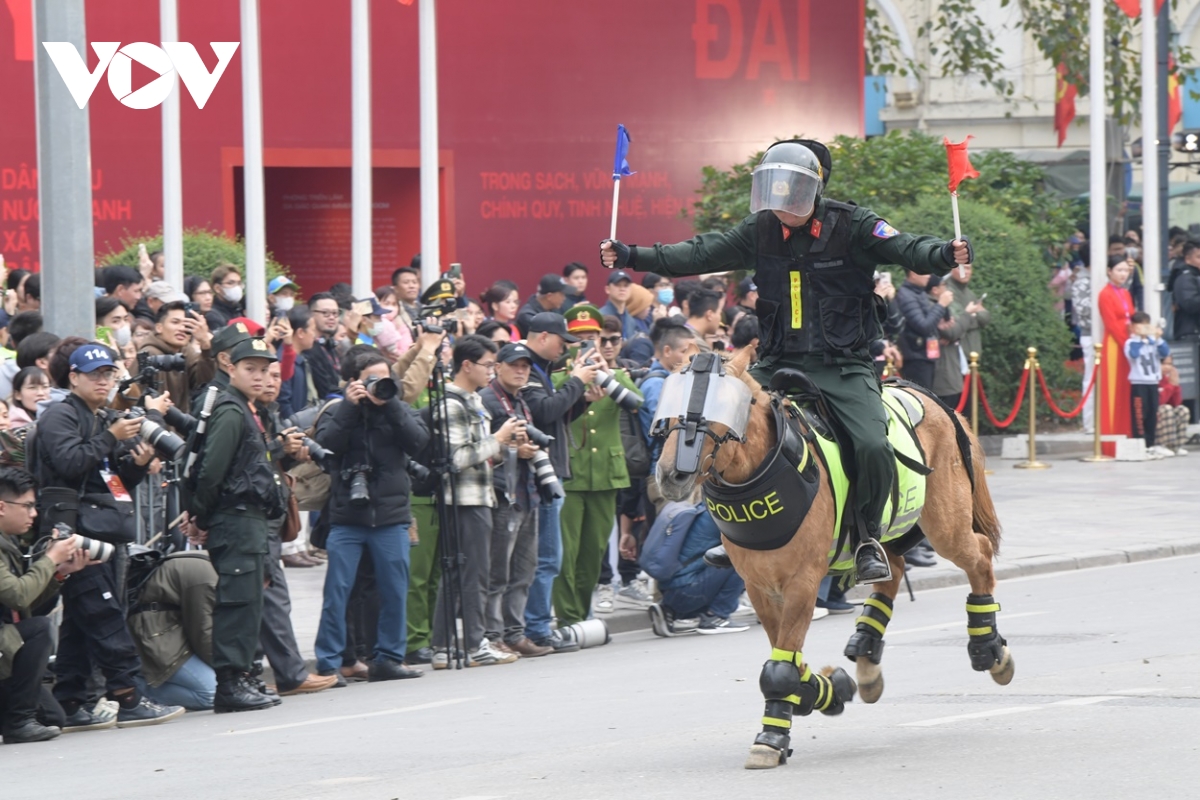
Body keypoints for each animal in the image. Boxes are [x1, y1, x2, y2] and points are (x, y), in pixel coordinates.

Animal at [657, 347, 1012, 772]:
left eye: (722, 407)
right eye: (667, 406)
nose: (670, 475)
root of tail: (932, 398)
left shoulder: (802, 583)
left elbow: (781, 667)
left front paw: (771, 738)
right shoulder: (759, 587)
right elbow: (788, 658)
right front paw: (825, 690)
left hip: (945, 525)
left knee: (979, 554)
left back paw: (989, 648)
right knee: (893, 569)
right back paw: (866, 652)